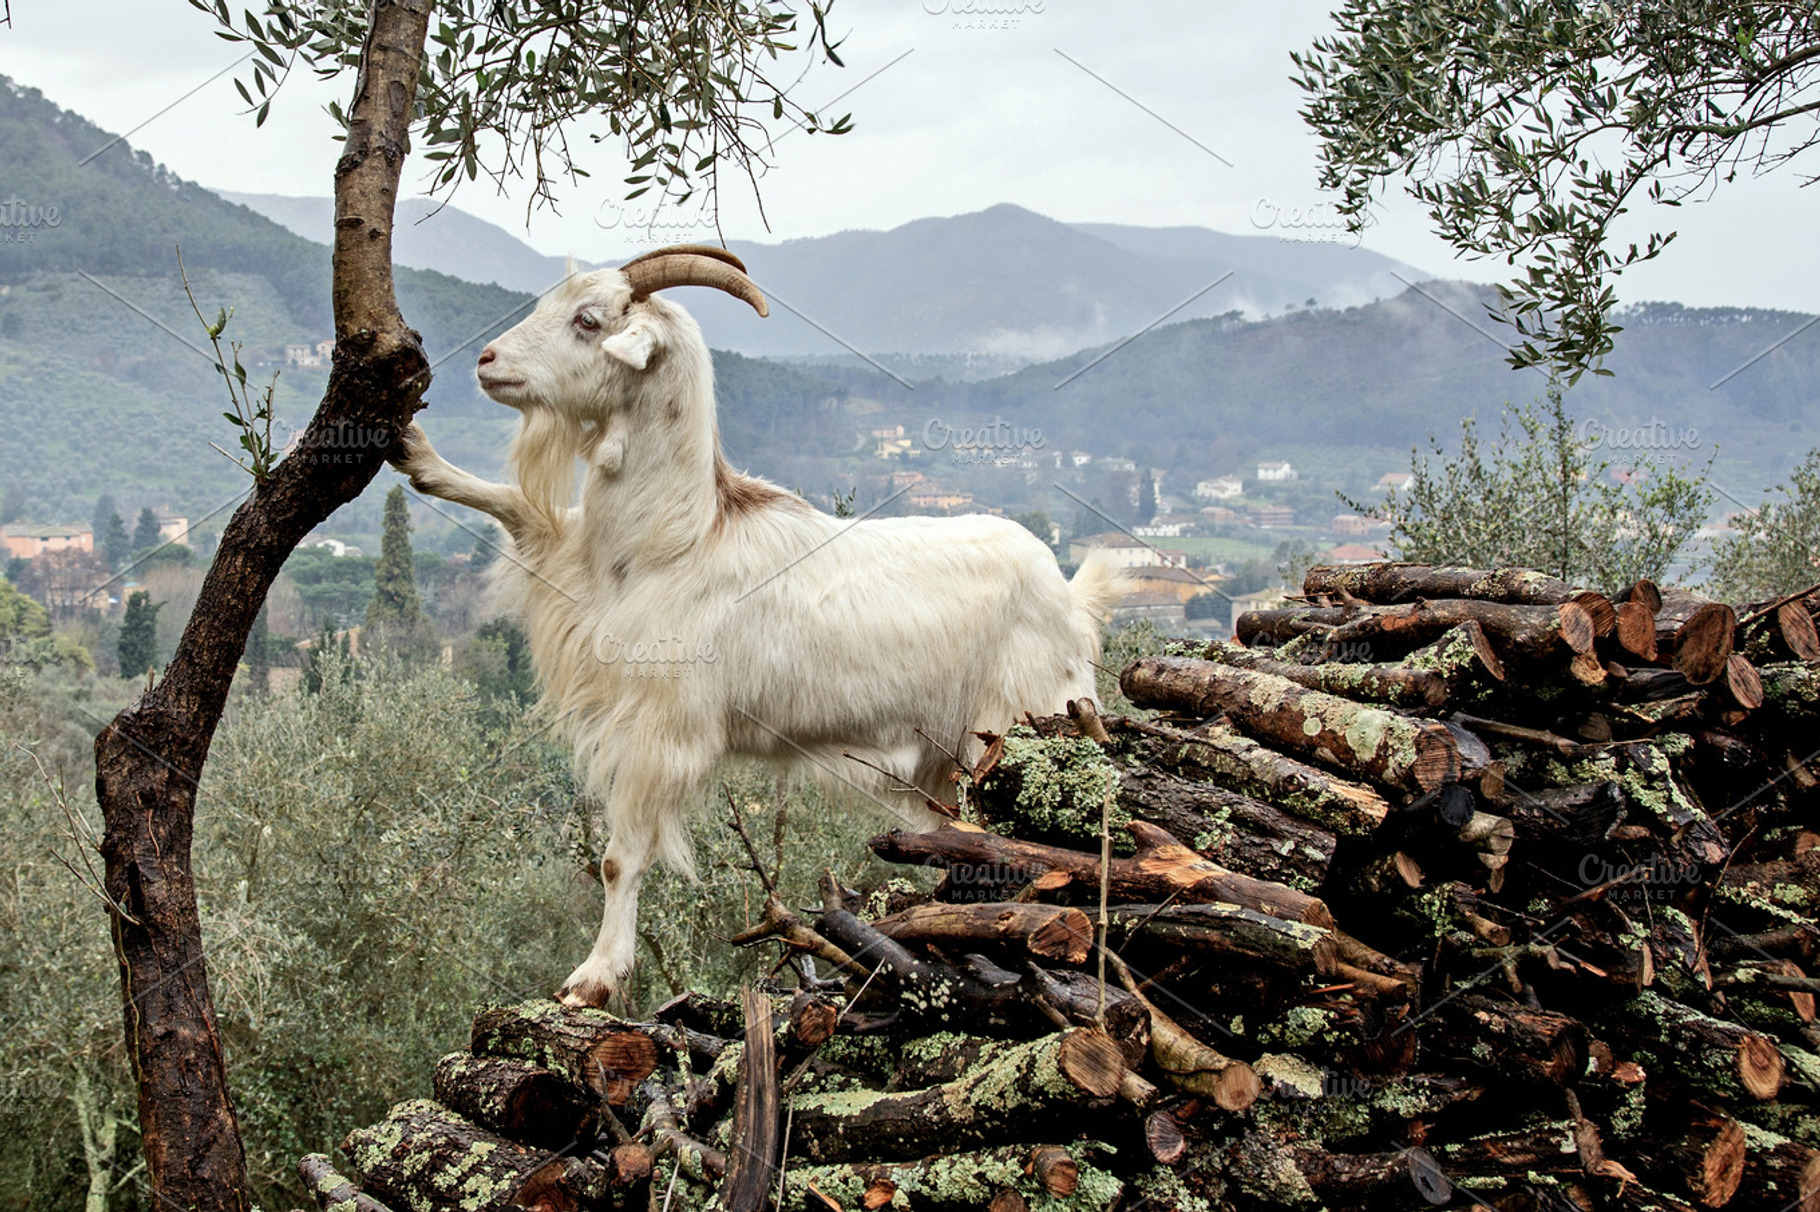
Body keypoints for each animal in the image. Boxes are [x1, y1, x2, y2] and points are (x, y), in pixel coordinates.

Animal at [391, 245, 1125, 1007]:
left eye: (588, 321)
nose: (487, 361)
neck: (677, 540)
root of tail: (1072, 596)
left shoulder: (664, 727)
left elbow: (622, 857)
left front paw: (594, 977)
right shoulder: (571, 575)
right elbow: (520, 511)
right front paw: (416, 451)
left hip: (1027, 722)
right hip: (947, 763)